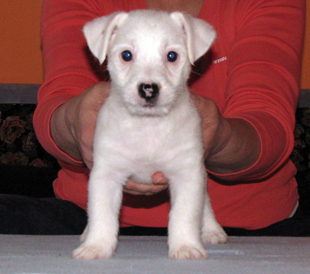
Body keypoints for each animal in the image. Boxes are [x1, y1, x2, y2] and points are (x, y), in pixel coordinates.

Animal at [72, 9, 228, 262]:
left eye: (172, 56)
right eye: (126, 55)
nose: (148, 89)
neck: (148, 126)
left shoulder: (188, 175)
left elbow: (185, 214)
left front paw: (186, 246)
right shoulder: (106, 175)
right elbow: (101, 213)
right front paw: (96, 246)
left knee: (205, 204)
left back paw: (212, 229)